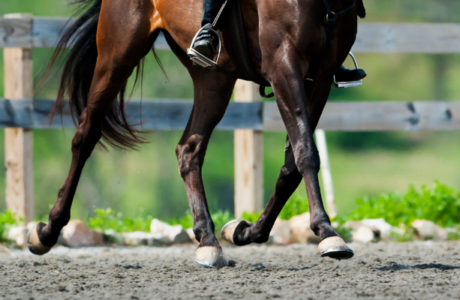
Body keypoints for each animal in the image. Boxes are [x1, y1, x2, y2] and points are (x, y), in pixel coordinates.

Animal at [27, 0, 366, 268]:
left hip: (214, 77)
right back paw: (47, 232)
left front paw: (244, 231)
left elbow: (293, 162)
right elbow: (305, 151)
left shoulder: (319, 79)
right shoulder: (285, 66)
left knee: (189, 149)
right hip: (118, 52)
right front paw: (327, 232)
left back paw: (208, 240)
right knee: (85, 136)